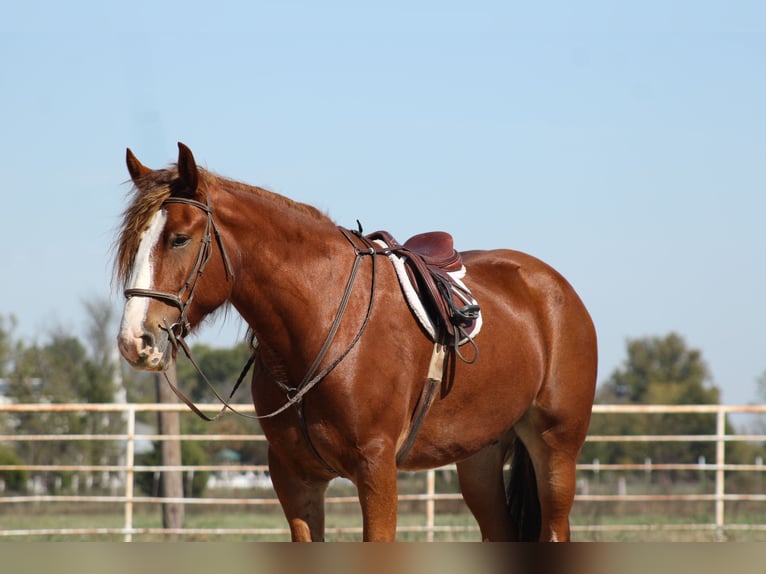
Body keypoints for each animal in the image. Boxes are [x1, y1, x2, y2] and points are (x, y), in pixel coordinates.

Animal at [114, 142, 597, 542]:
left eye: (179, 238)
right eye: (134, 243)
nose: (134, 340)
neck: (321, 322)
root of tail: (555, 288)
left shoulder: (377, 471)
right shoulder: (295, 480)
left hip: (555, 450)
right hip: (480, 456)